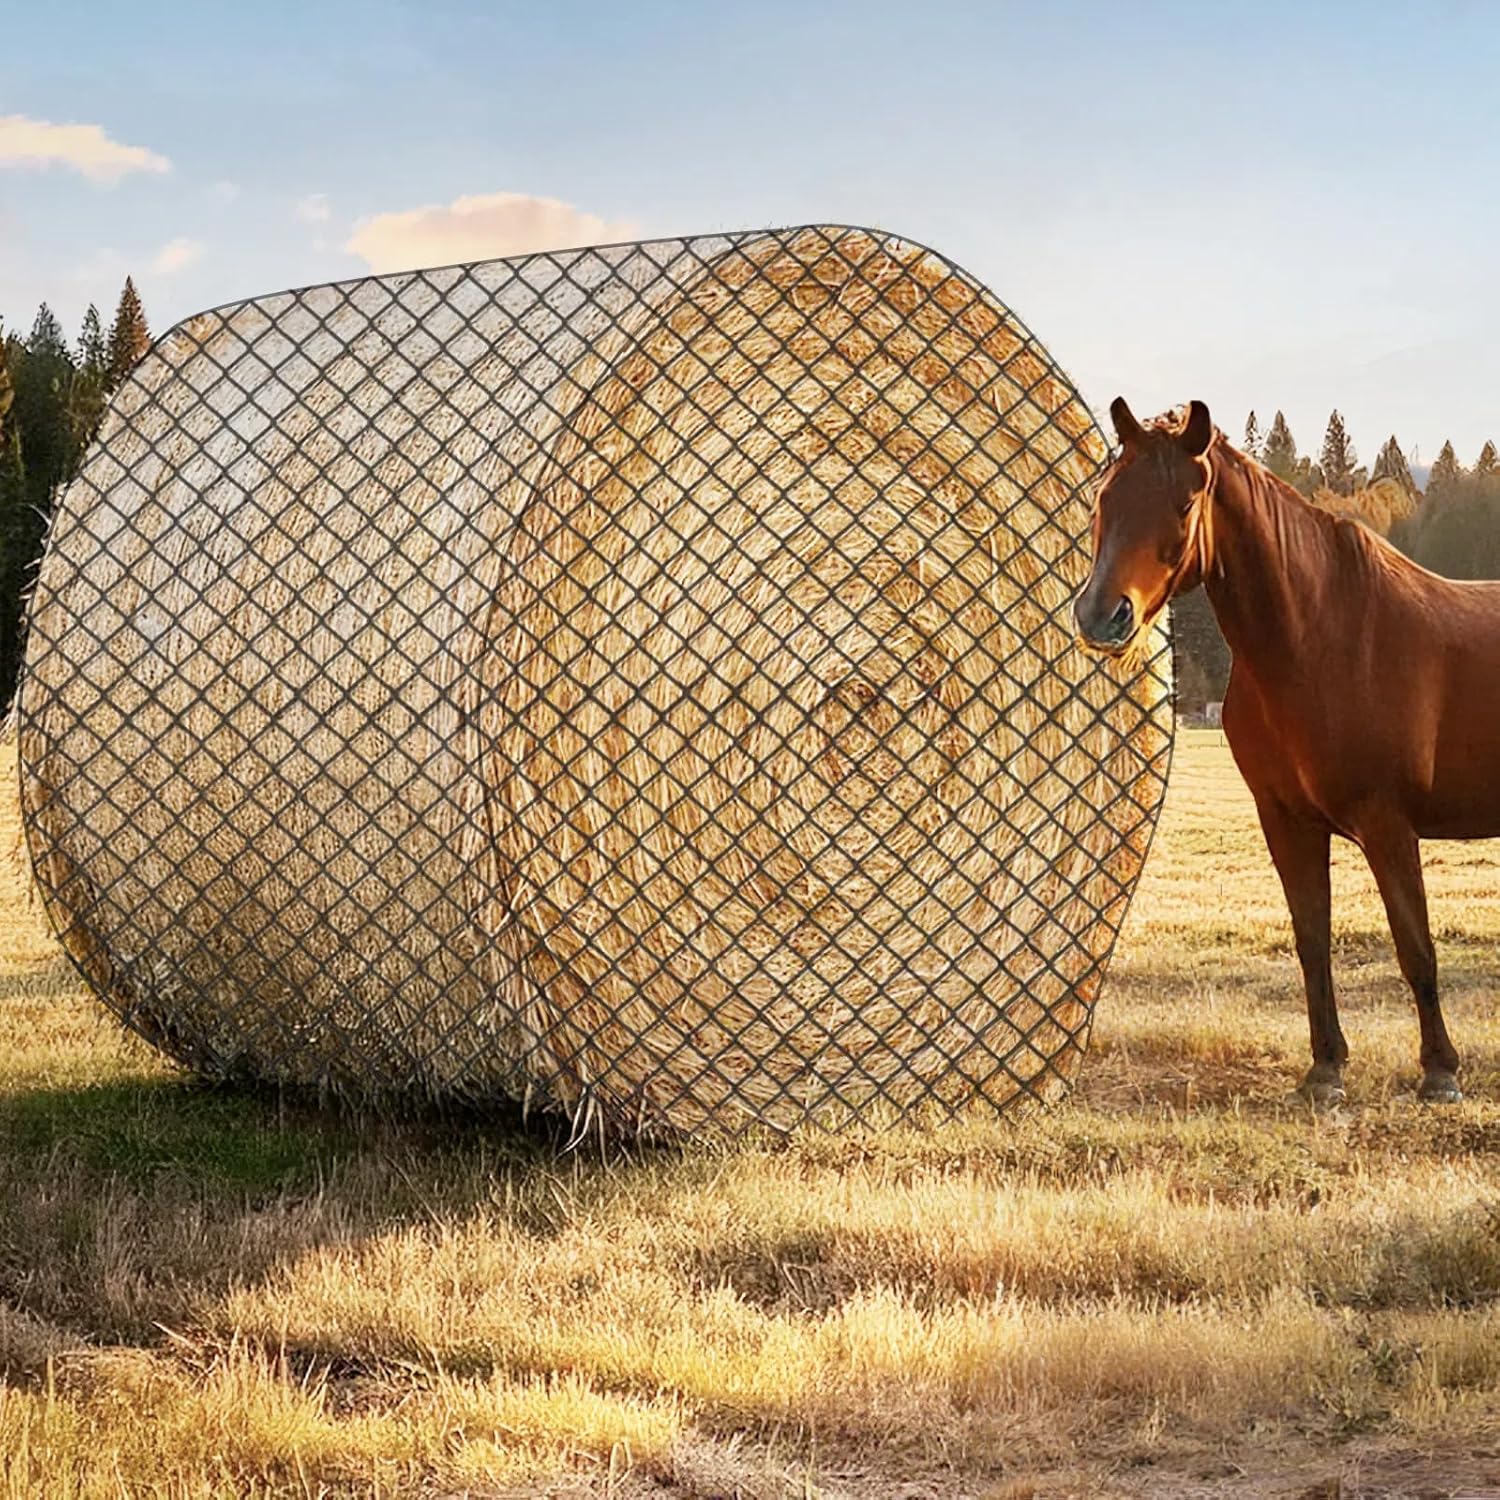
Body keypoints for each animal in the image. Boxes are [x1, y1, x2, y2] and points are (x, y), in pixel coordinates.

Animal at [1074, 397, 1500, 1104]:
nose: (1102, 617)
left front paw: (1440, 1071)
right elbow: (1311, 939)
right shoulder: (1286, 821)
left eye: (1185, 503)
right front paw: (1325, 1070)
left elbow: (1415, 947)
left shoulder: (1388, 824)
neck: (1321, 635)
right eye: (1105, 497)